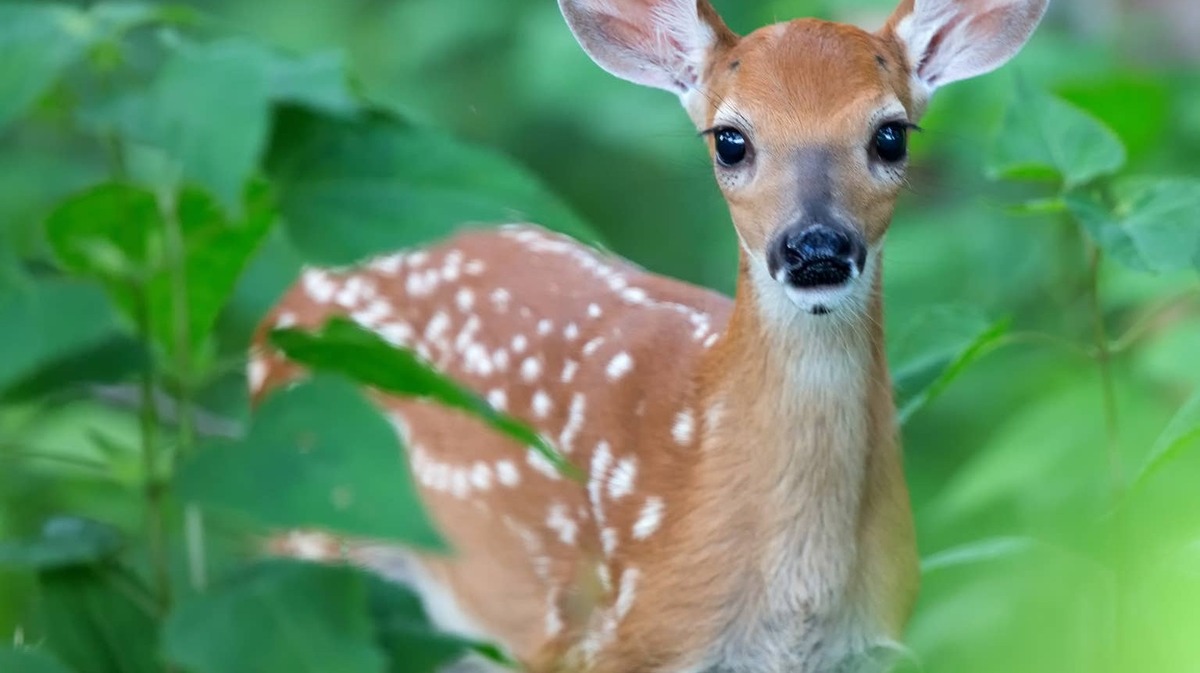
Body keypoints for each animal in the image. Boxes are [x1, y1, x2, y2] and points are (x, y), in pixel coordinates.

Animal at [249, 0, 1047, 670]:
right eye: (730, 140)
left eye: (890, 135)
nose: (815, 247)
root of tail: (287, 300)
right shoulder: (610, 642)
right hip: (302, 527)